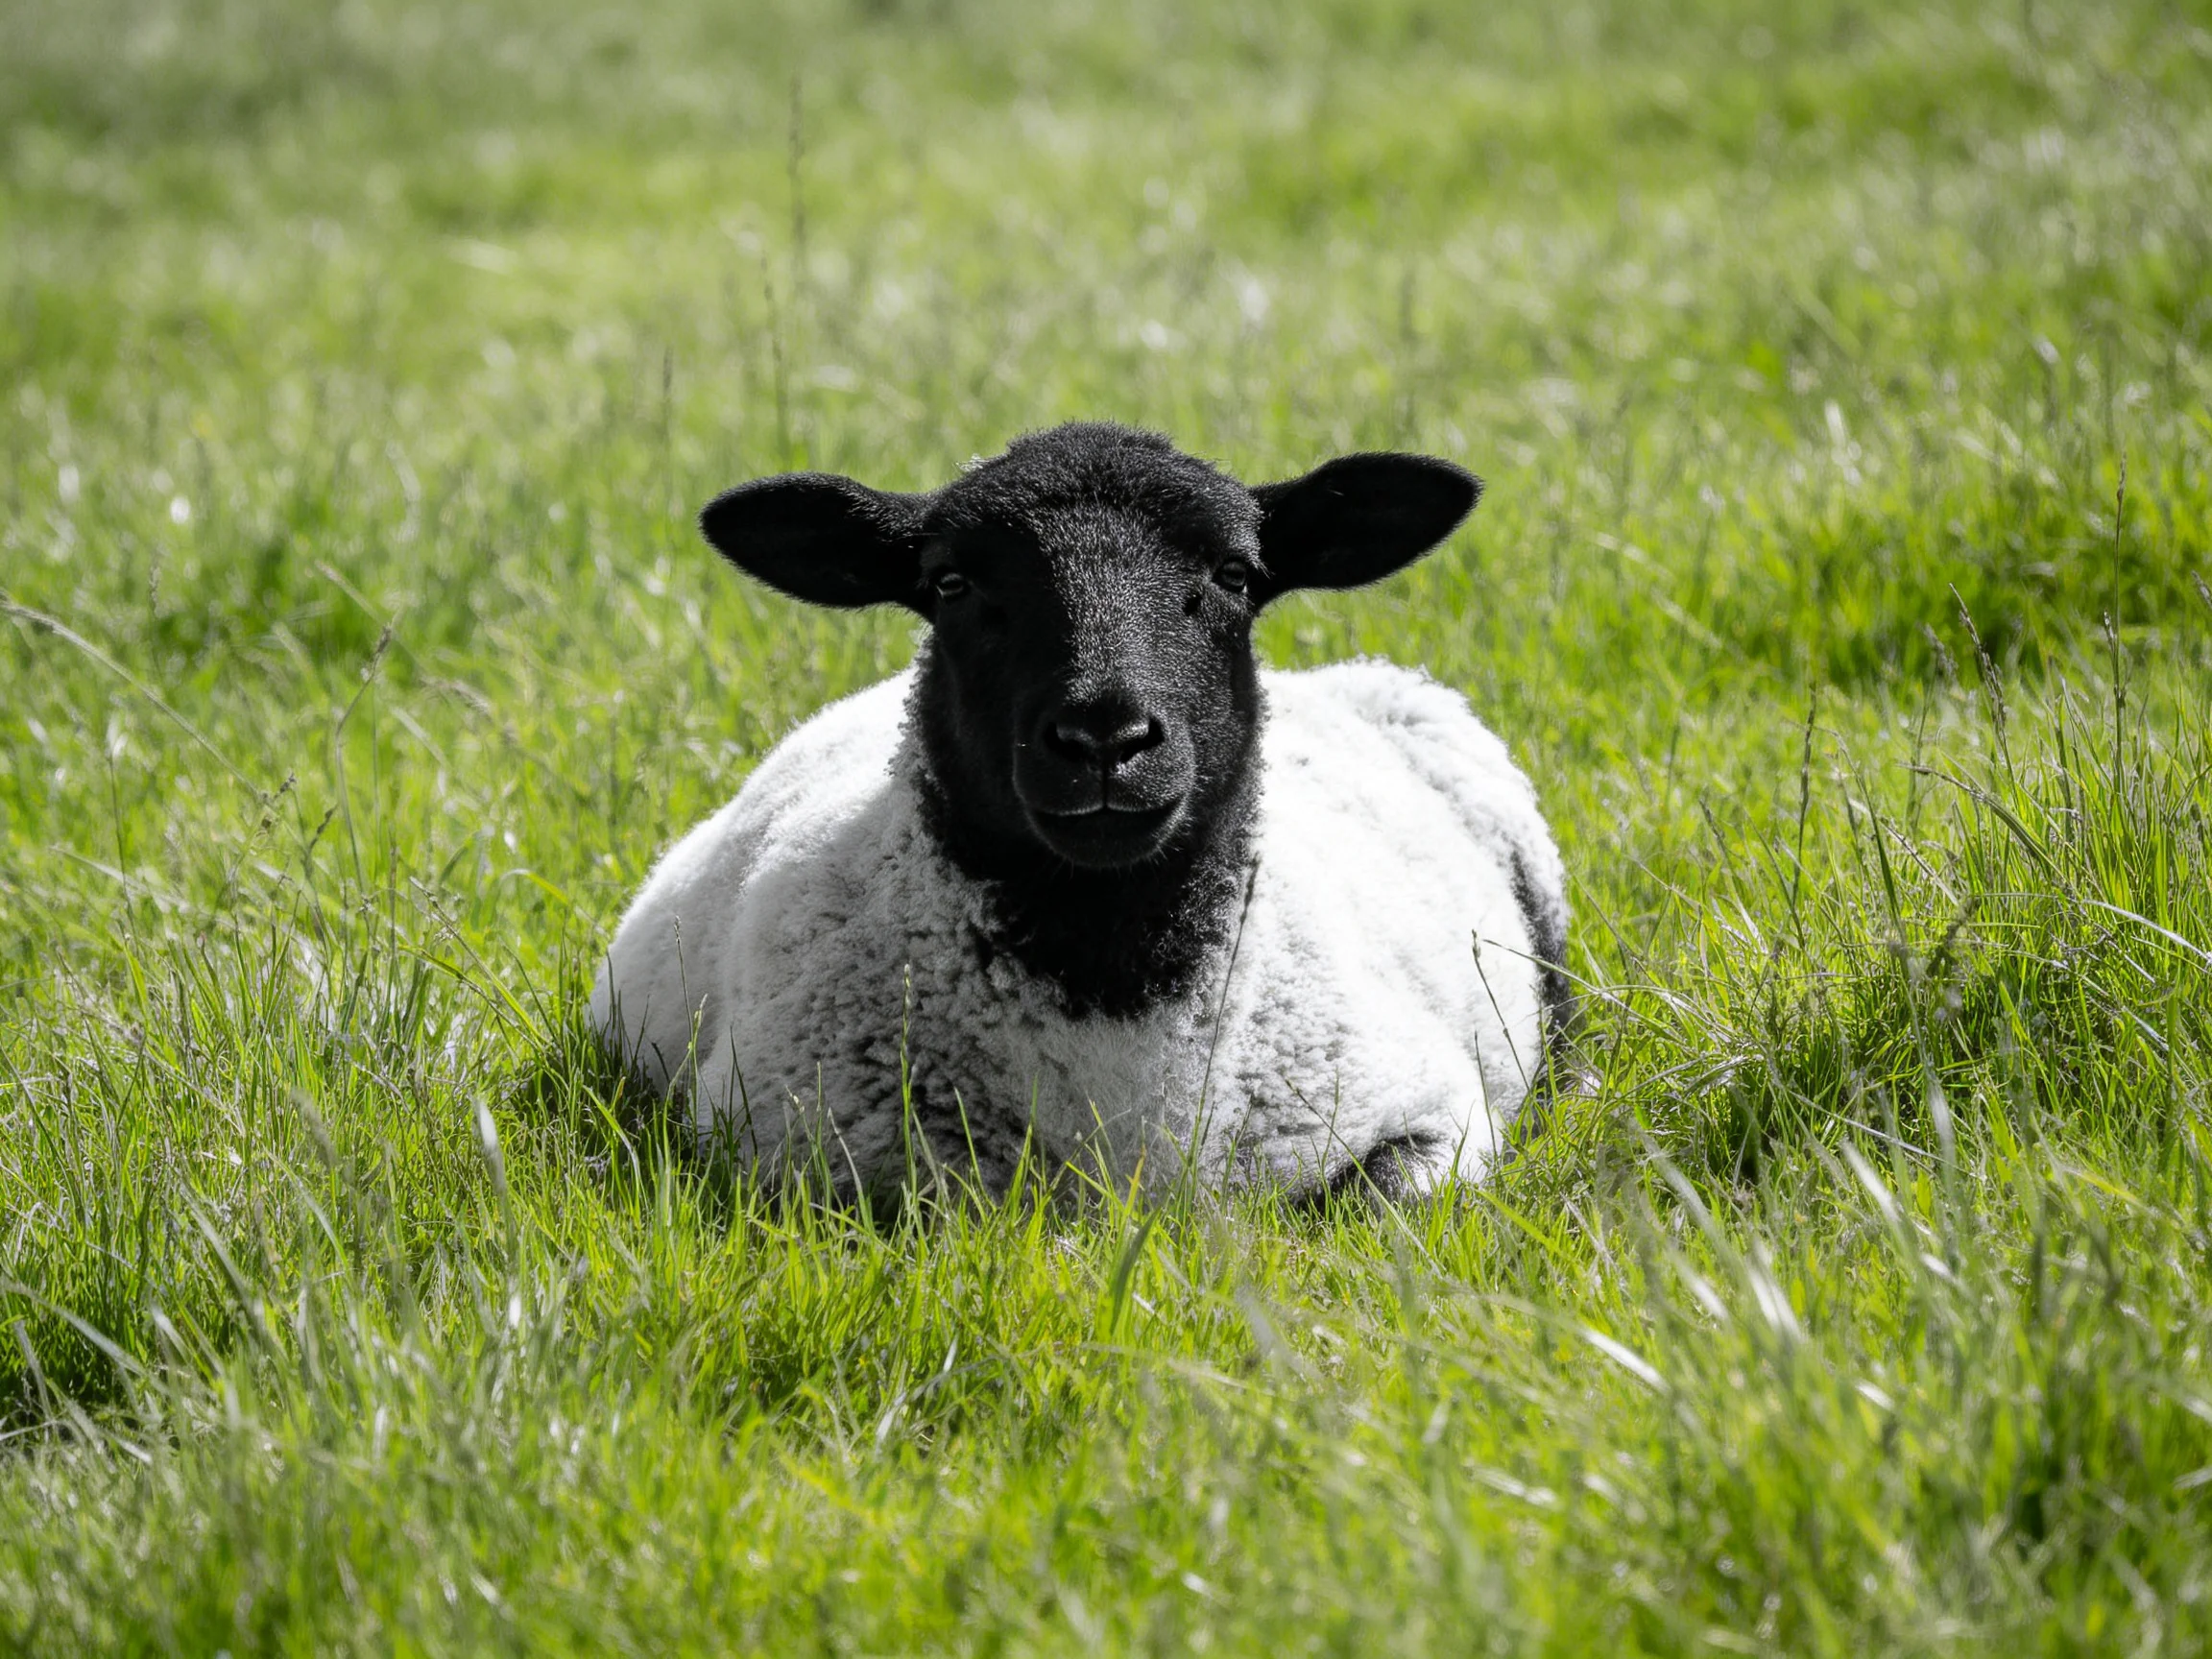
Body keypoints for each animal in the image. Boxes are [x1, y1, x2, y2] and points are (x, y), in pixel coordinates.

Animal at [590, 422, 1569, 1200]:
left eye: (1235, 574)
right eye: (950, 584)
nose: (1105, 735)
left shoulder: (1426, 1110)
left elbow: (1383, 1197)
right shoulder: (790, 1144)